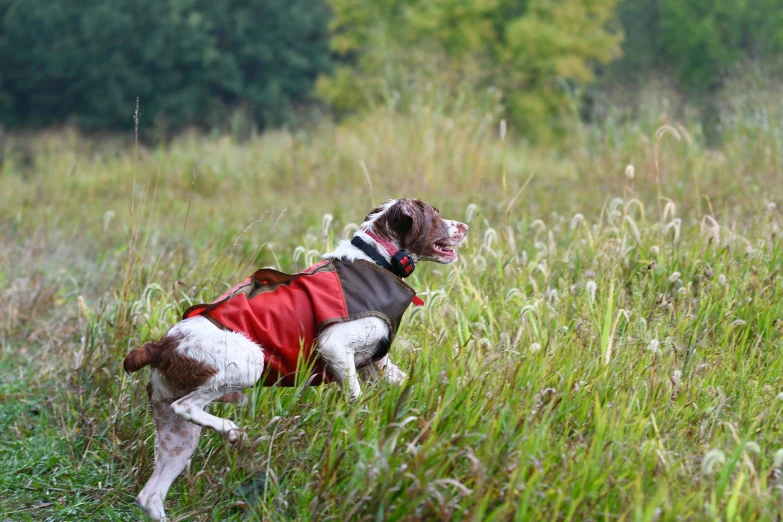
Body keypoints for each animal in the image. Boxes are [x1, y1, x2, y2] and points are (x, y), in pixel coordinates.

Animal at [122, 198, 466, 516]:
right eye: (435, 215)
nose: (465, 226)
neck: (378, 259)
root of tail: (160, 345)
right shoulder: (333, 347)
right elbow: (356, 400)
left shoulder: (376, 365)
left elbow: (411, 386)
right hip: (249, 361)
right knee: (187, 406)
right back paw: (233, 431)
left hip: (177, 434)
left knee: (150, 496)